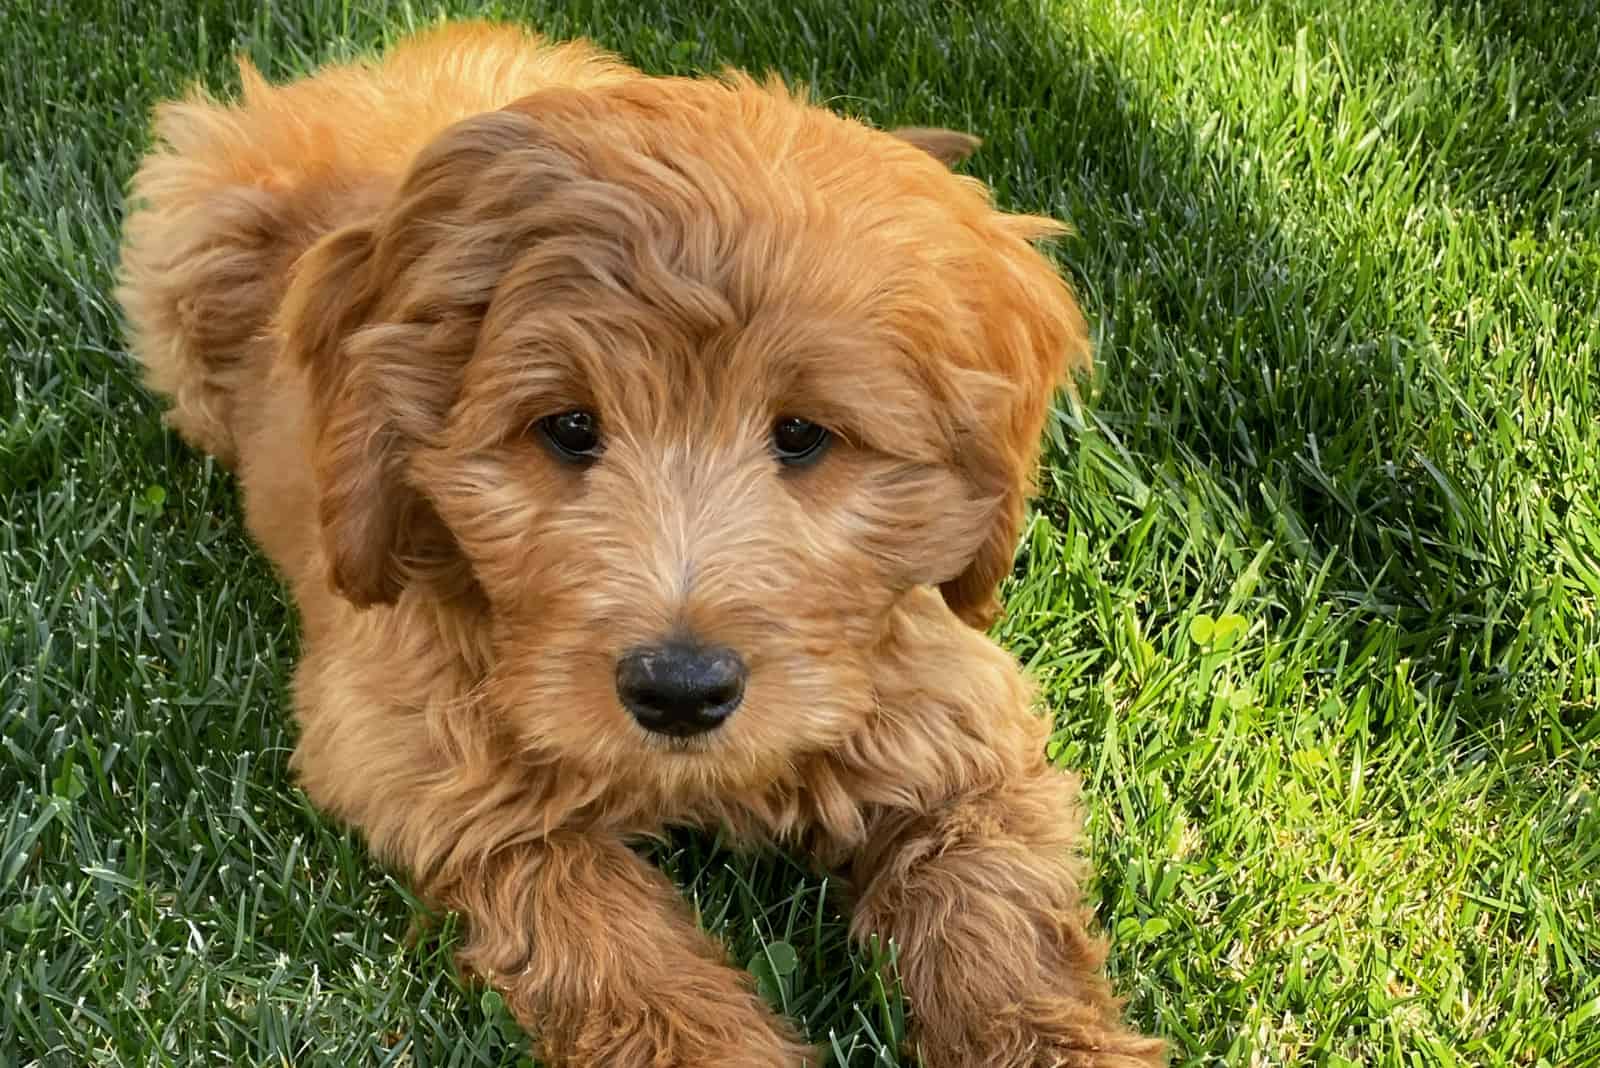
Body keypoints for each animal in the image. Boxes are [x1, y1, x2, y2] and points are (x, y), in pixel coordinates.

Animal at [116, 18, 1164, 1068]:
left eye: (802, 434)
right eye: (570, 428)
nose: (681, 692)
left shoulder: (953, 716)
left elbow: (996, 912)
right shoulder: (421, 749)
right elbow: (610, 944)